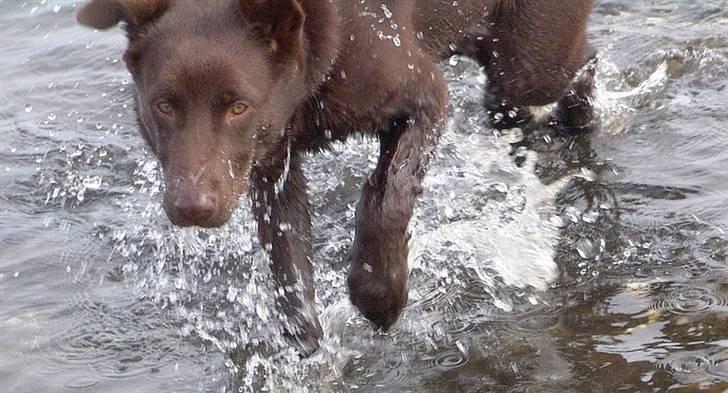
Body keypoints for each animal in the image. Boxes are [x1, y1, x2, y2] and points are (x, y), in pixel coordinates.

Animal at [77, 0, 596, 352]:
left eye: (238, 106)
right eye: (164, 105)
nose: (192, 208)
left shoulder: (424, 93)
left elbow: (389, 198)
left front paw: (381, 296)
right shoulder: (271, 161)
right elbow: (287, 259)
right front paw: (307, 341)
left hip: (525, 68)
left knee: (578, 62)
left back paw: (580, 121)